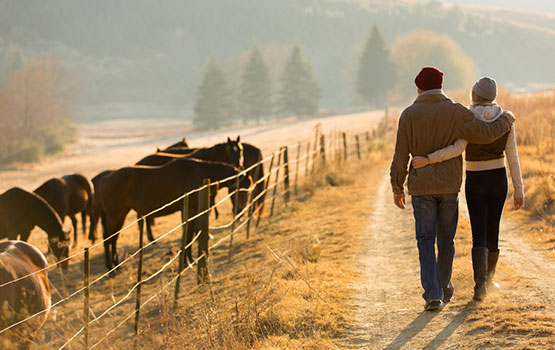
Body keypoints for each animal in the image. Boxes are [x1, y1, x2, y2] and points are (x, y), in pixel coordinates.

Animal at [98, 159, 252, 270]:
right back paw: (110, 267)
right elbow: (187, 235)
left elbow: (190, 235)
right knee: (107, 238)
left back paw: (116, 266)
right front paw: (185, 262)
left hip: (121, 214)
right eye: (243, 189)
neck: (198, 174)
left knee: (114, 238)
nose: (240, 209)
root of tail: (106, 179)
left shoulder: (193, 211)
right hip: (114, 215)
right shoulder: (187, 211)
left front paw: (191, 261)